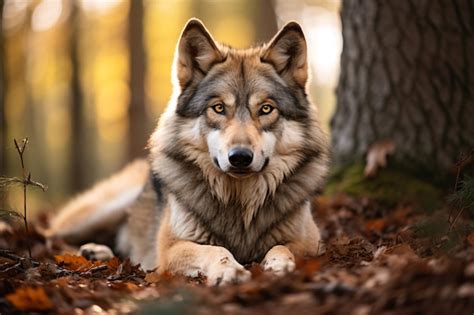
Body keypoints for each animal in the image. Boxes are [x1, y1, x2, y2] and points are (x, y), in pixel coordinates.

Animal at [49, 19, 330, 286]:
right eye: (218, 108)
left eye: (266, 109)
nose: (240, 157)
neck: (239, 203)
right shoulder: (170, 248)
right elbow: (216, 250)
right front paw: (229, 271)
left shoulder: (311, 241)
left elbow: (281, 247)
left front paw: (280, 266)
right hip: (103, 210)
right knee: (51, 237)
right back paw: (87, 252)